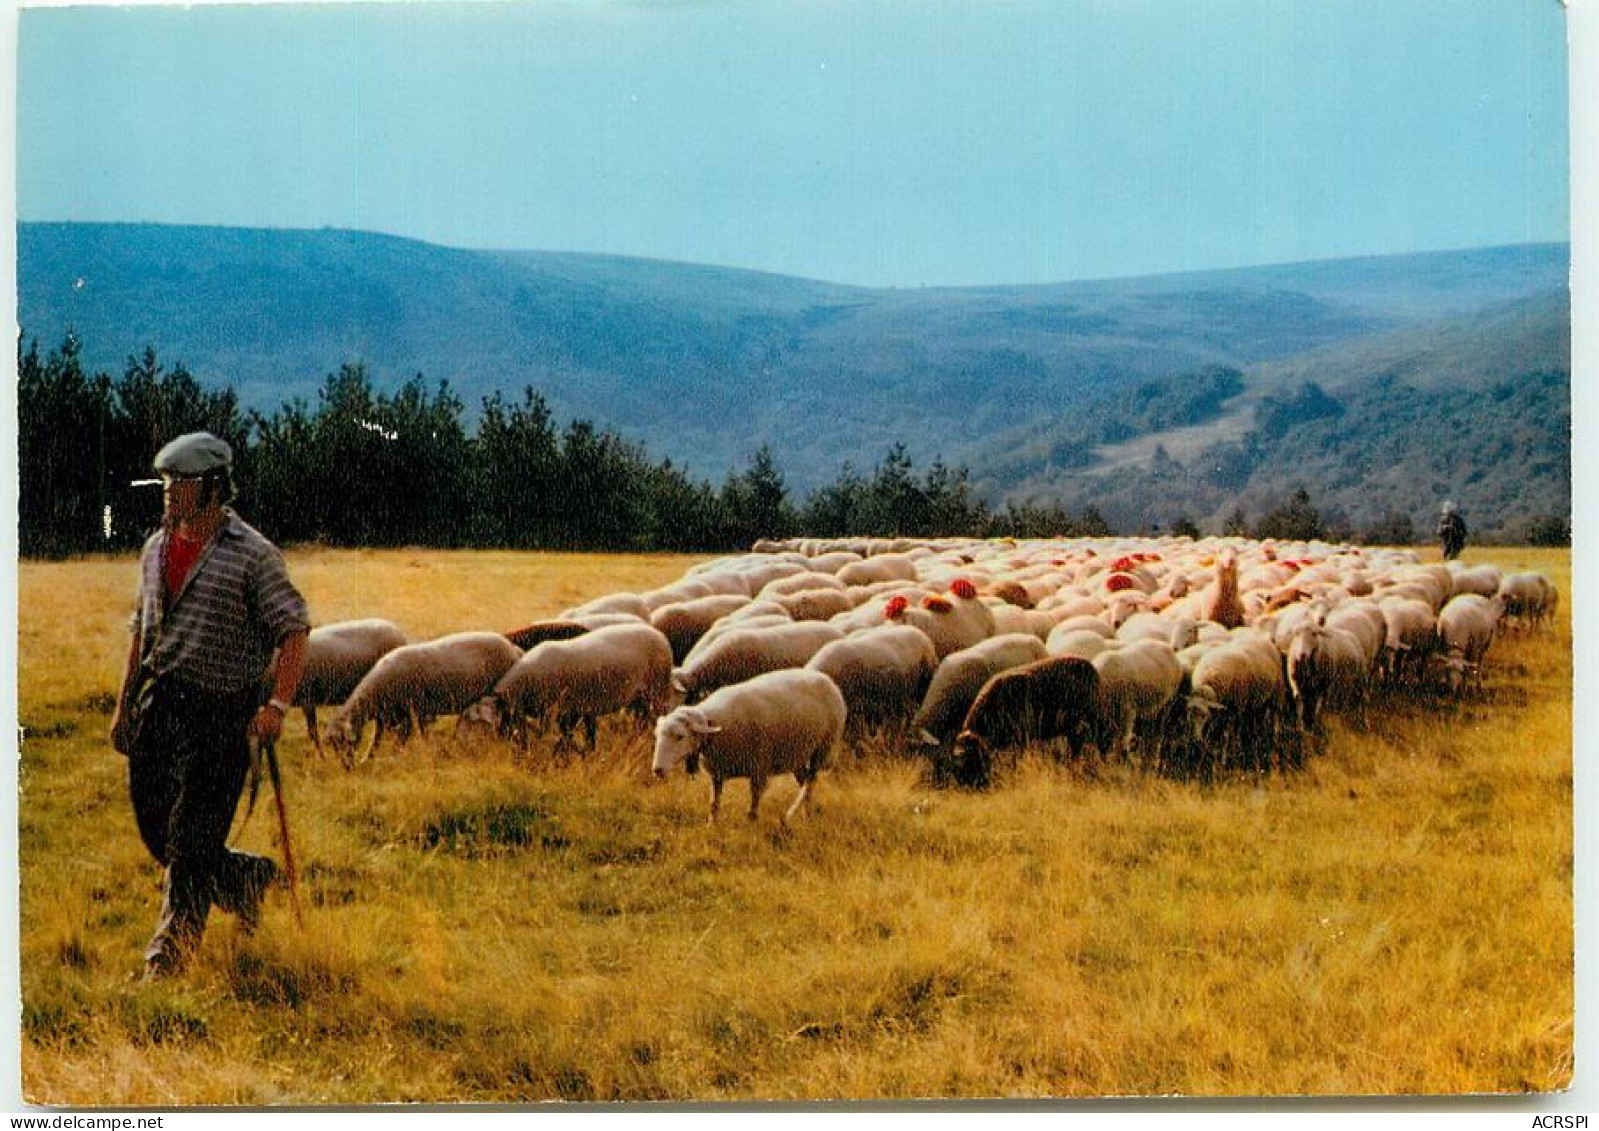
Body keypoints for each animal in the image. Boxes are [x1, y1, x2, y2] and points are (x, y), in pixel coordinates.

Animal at [327, 633, 521, 764]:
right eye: (333, 746)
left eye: (343, 742)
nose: (347, 767)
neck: (373, 693)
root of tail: (514, 649)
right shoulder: (388, 716)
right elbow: (376, 739)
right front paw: (368, 759)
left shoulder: (409, 712)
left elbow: (406, 737)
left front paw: (400, 755)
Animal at [649, 668, 850, 825]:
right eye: (657, 736)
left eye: (680, 736)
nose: (657, 770)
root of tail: (825, 678)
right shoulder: (717, 773)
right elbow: (714, 804)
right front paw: (711, 825)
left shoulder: (759, 769)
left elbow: (753, 805)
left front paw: (752, 824)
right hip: (797, 753)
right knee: (805, 780)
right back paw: (806, 812)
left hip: (822, 748)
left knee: (810, 783)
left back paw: (793, 814)